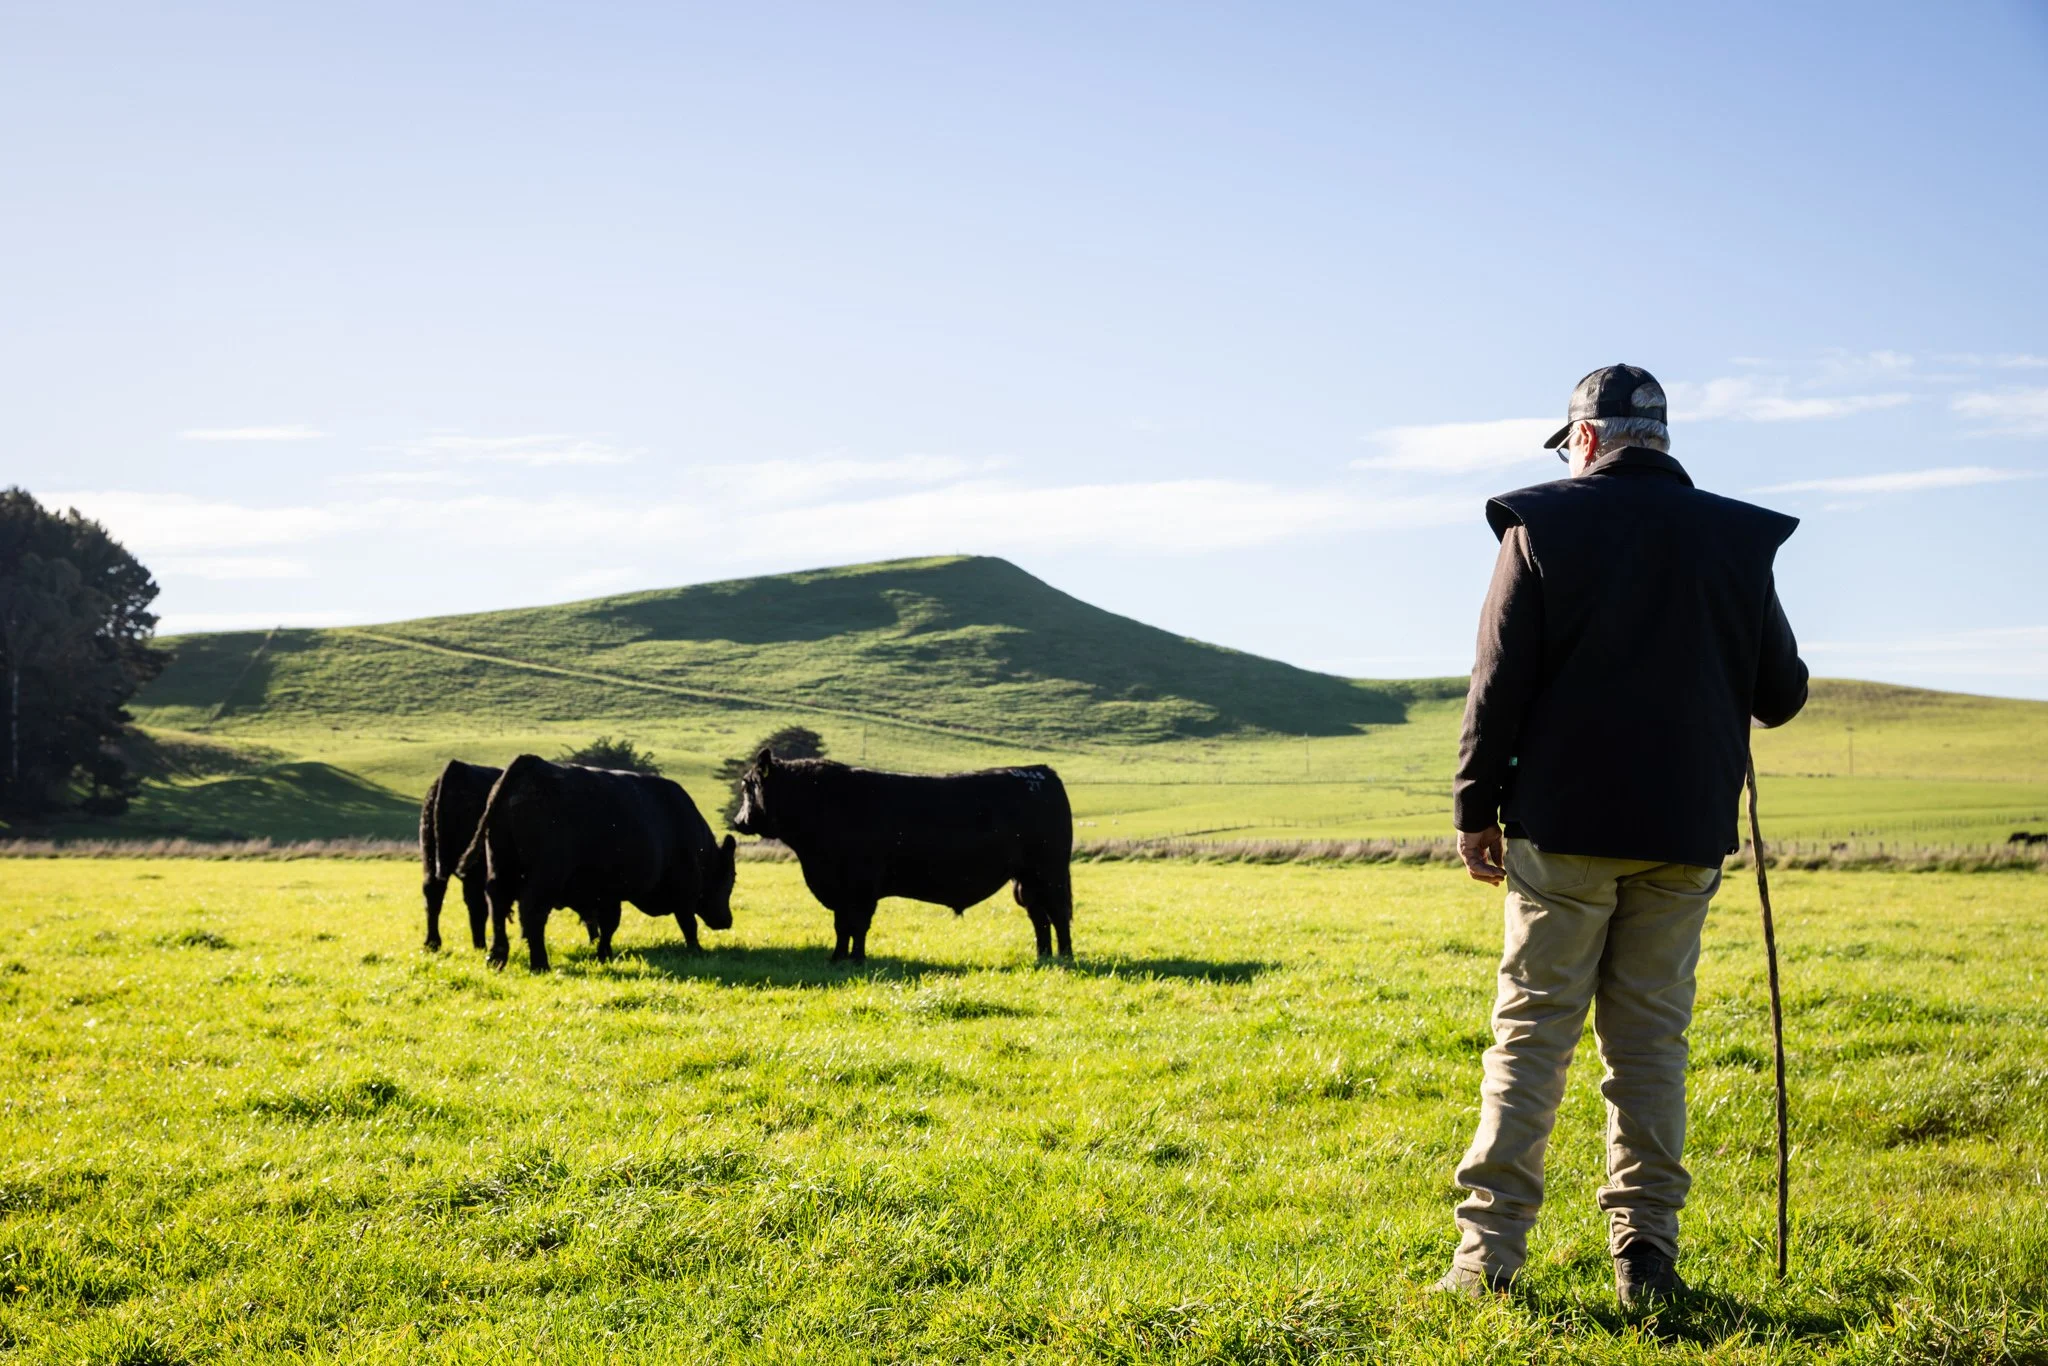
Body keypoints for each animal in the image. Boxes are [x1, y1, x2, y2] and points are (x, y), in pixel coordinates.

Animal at [419, 760, 502, 952]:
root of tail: (458, 767)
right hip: (476, 868)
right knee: (477, 903)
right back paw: (481, 946)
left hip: (429, 855)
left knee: (432, 892)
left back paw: (432, 943)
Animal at [459, 755, 737, 972]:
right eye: (730, 880)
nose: (727, 921)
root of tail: (532, 764)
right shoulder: (685, 887)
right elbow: (688, 923)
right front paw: (696, 950)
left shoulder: (607, 892)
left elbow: (608, 924)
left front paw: (605, 955)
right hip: (545, 876)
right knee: (532, 911)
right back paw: (540, 963)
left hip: (500, 864)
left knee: (497, 903)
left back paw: (496, 957)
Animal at [731, 753, 1073, 963]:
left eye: (748, 786)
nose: (738, 821)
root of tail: (1040, 772)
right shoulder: (840, 889)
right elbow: (842, 926)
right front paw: (838, 958)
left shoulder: (861, 886)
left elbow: (857, 925)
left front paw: (857, 959)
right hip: (1027, 880)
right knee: (1039, 917)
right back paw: (1043, 956)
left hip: (1050, 873)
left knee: (1058, 914)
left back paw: (1066, 957)